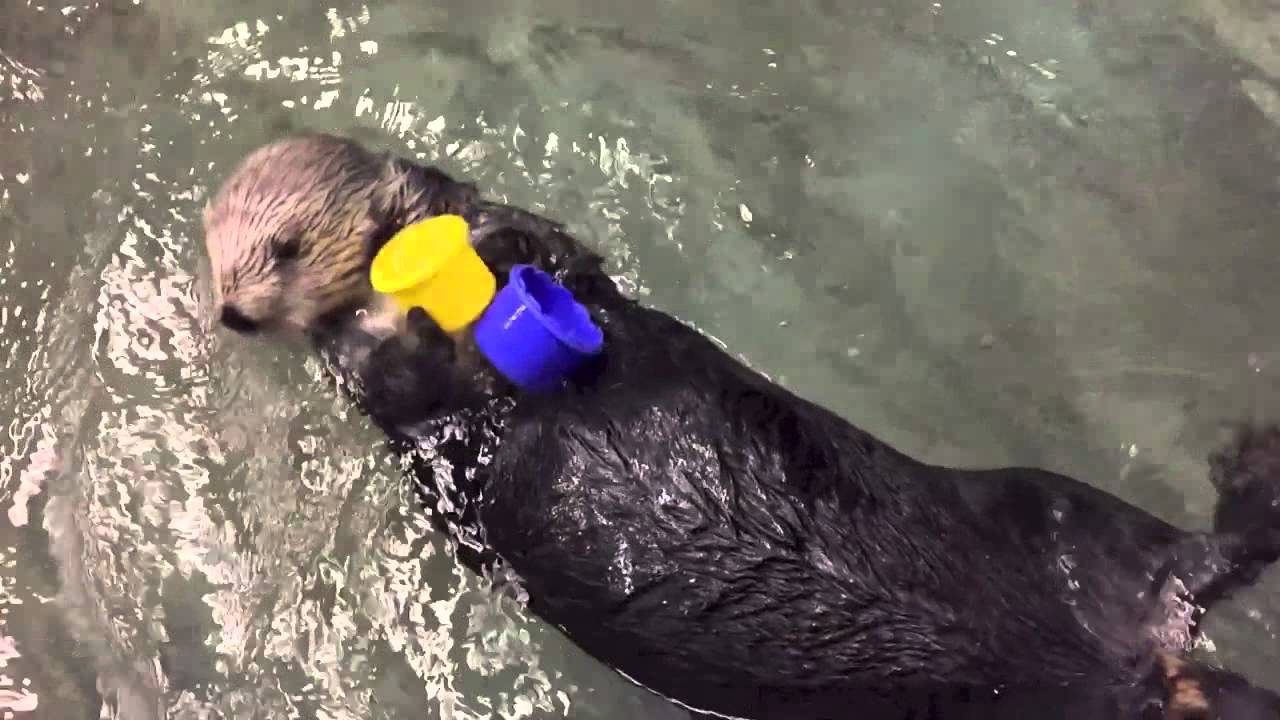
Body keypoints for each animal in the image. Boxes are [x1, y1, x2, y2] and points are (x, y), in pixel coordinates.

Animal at [202, 133, 1280, 720]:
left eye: (283, 244)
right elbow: (397, 379)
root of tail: (1130, 665)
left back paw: (1247, 465)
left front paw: (498, 248)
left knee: (1197, 550)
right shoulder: (403, 411)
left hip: (1066, 519)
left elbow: (563, 257)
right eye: (215, 258)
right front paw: (412, 322)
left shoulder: (573, 283)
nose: (233, 311)